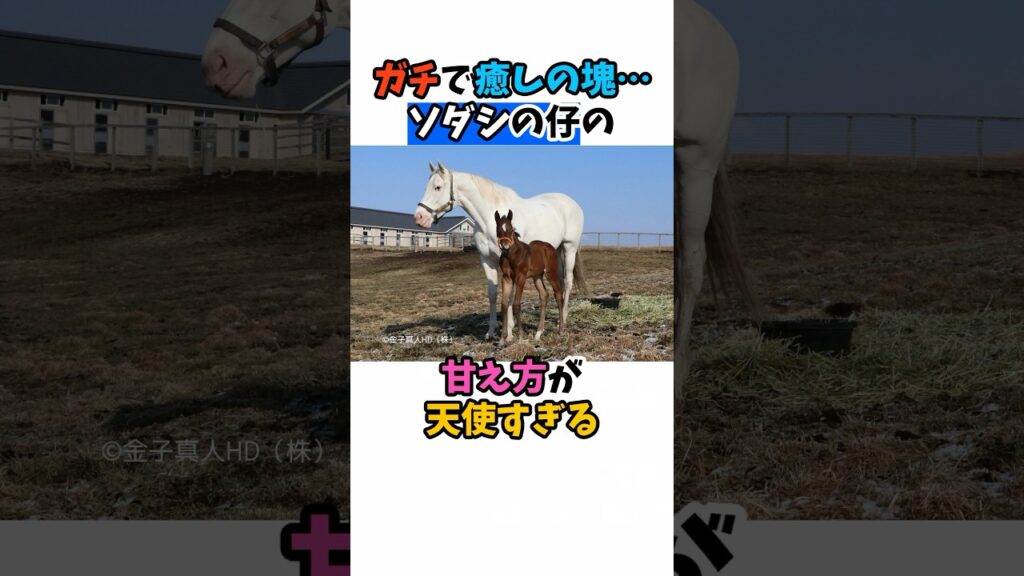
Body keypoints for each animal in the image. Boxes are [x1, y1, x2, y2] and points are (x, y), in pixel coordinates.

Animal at [495, 210, 564, 343]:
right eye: (498, 229)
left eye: (511, 229)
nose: (505, 246)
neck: (512, 255)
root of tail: (550, 247)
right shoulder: (506, 278)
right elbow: (504, 304)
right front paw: (502, 339)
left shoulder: (520, 277)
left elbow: (516, 304)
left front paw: (521, 336)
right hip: (537, 276)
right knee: (544, 295)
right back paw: (538, 333)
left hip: (551, 273)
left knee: (558, 295)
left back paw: (561, 330)